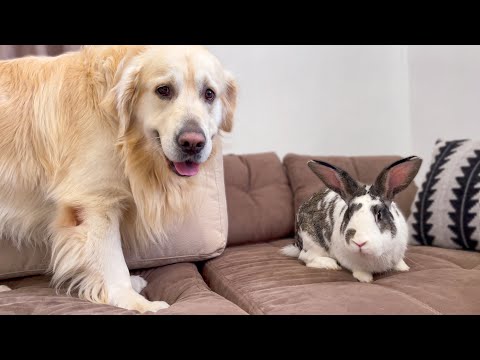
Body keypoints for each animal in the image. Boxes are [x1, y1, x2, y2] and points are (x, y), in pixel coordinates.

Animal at [0, 45, 238, 312]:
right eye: (163, 90)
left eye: (209, 94)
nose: (192, 143)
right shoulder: (95, 202)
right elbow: (112, 260)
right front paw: (134, 300)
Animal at [284, 156, 422, 282]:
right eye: (349, 214)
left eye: (379, 214)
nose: (359, 242)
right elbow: (359, 271)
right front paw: (366, 279)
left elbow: (398, 262)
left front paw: (404, 268)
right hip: (311, 242)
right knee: (306, 257)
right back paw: (330, 264)